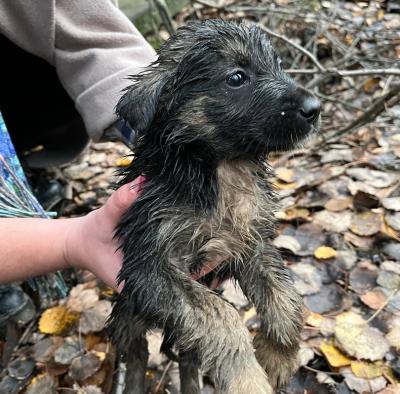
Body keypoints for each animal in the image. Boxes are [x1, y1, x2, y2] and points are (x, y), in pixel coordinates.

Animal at [108, 19, 320, 394]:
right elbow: (222, 316)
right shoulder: (149, 267)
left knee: (189, 359)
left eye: (278, 66)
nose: (315, 108)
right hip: (126, 314)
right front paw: (249, 381)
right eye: (236, 77)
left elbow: (286, 301)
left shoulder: (251, 244)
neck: (223, 170)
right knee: (136, 355)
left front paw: (279, 358)